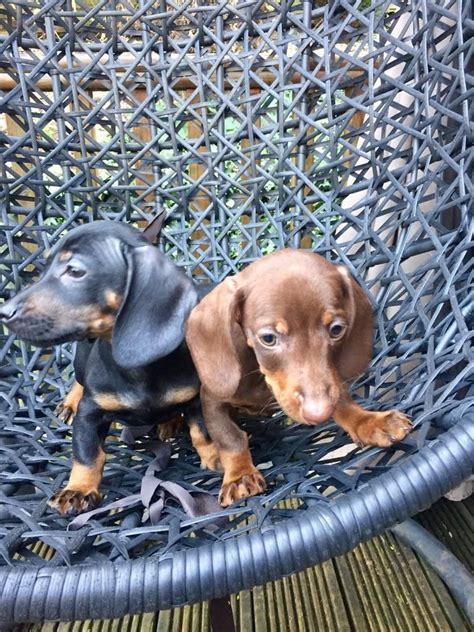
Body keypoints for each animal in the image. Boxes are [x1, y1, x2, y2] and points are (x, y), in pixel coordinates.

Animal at [0, 221, 218, 512]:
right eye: (43, 269)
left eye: (75, 271)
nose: (4, 312)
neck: (138, 370)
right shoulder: (90, 413)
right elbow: (87, 454)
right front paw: (78, 489)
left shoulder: (195, 399)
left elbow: (203, 432)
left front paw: (218, 458)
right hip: (81, 361)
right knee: (78, 381)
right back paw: (68, 404)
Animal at [185, 249, 412, 506]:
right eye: (268, 338)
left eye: (336, 329)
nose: (318, 413)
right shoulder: (211, 399)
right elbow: (229, 437)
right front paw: (240, 475)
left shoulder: (329, 381)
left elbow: (343, 403)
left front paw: (370, 421)